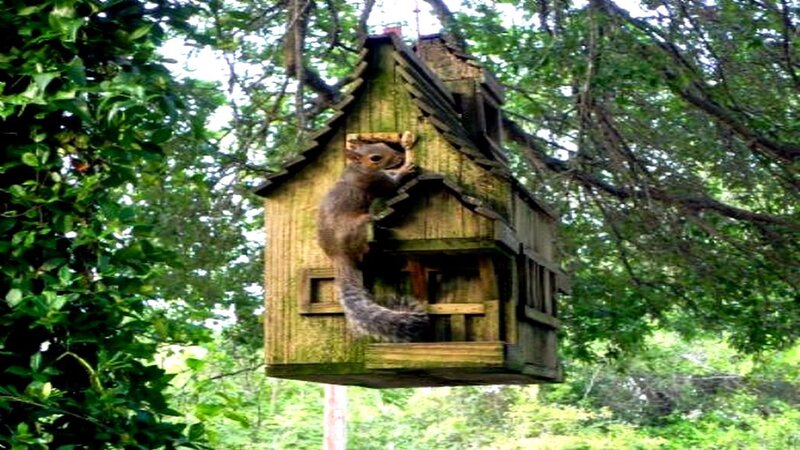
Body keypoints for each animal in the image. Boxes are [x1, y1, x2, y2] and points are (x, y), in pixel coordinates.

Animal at [317, 135, 429, 342]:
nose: (400, 156)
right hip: (361, 227)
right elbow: (393, 185)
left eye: (384, 144)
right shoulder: (376, 181)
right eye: (375, 158)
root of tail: (338, 254)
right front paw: (405, 169)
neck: (358, 169)